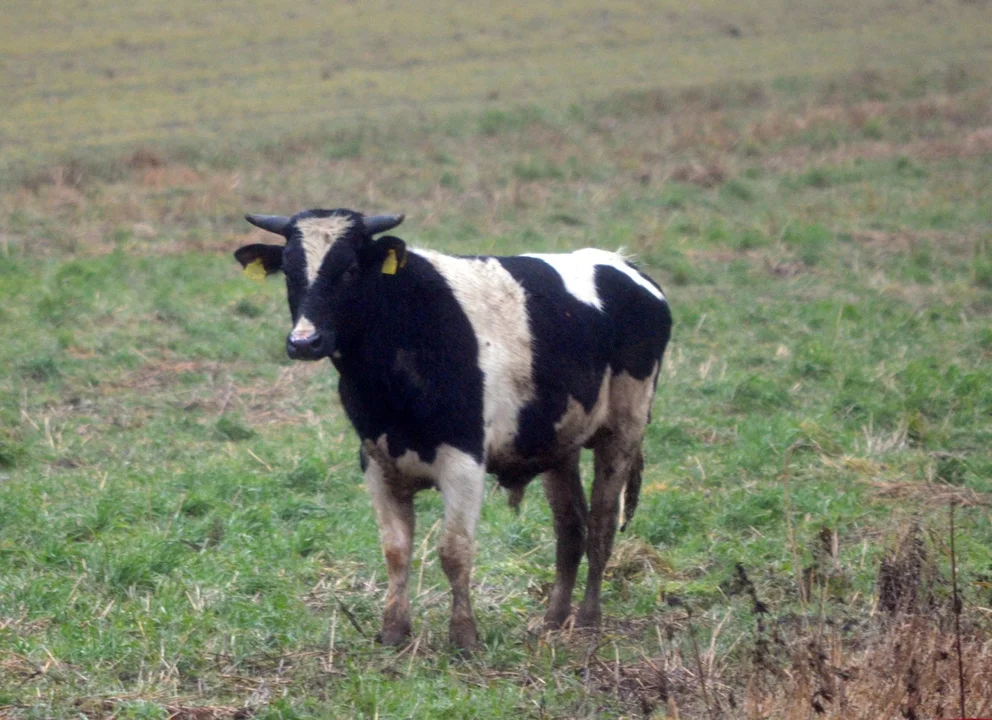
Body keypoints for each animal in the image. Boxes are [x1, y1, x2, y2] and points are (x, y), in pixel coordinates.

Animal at [234, 210, 676, 652]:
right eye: (290, 270)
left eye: (351, 269)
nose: (304, 342)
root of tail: (624, 264)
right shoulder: (376, 461)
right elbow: (396, 550)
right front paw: (393, 630)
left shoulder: (465, 462)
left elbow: (454, 551)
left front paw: (464, 635)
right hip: (558, 442)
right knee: (570, 530)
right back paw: (553, 620)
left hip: (624, 429)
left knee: (601, 526)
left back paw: (587, 620)